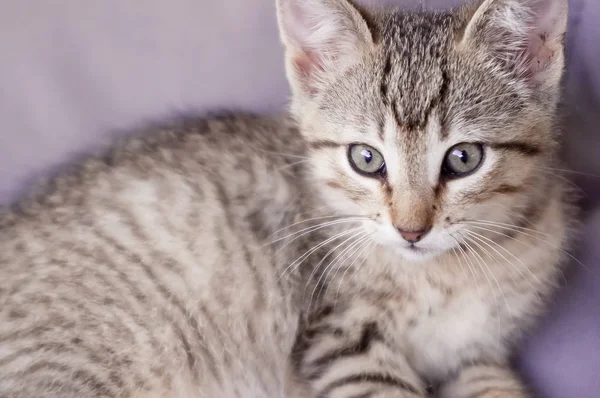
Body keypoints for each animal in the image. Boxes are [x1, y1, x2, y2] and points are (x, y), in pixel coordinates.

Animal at [1, 0, 572, 398]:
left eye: (464, 158)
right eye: (366, 159)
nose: (412, 229)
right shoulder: (336, 337)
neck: (453, 271)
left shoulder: (476, 354)